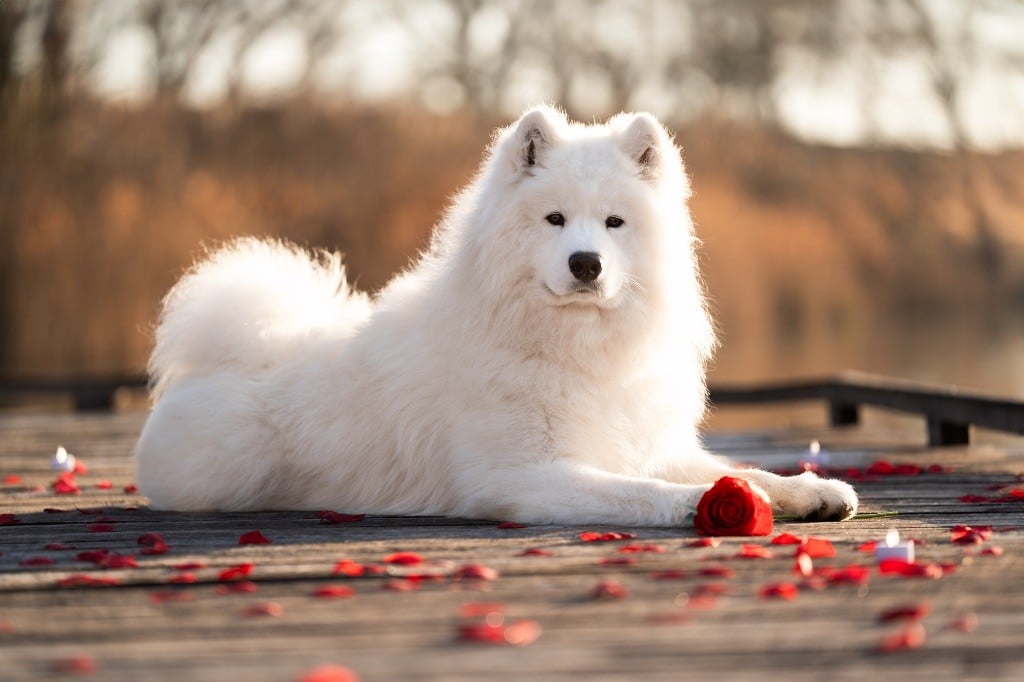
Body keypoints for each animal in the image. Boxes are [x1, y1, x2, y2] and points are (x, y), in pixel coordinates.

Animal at [136, 106, 856, 522]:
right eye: (555, 219)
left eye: (614, 223)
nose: (586, 264)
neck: (569, 344)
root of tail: (246, 349)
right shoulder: (523, 474)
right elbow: (644, 491)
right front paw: (700, 506)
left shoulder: (643, 442)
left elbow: (741, 469)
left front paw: (810, 489)